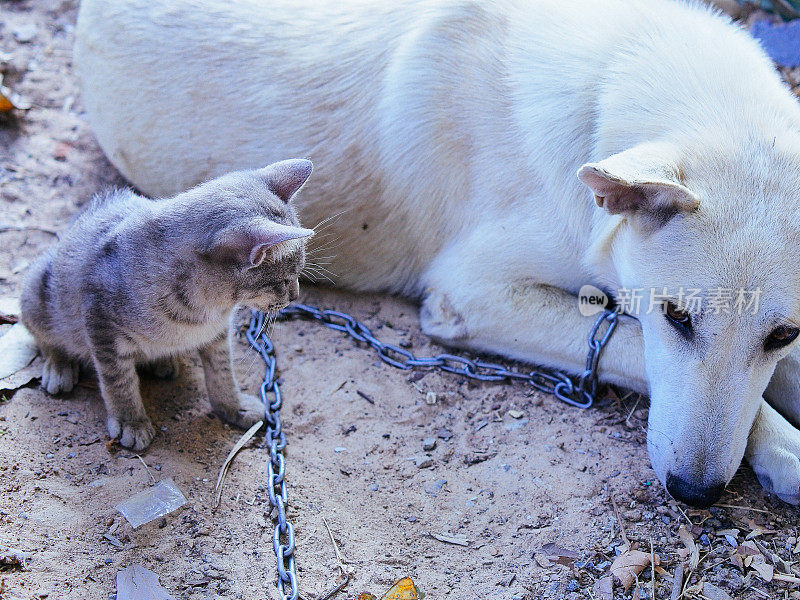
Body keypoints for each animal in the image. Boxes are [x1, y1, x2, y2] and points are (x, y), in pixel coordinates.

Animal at [18, 159, 312, 450]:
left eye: (298, 274)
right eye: (284, 280)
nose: (295, 295)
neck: (205, 311)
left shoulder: (218, 335)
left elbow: (222, 374)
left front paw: (234, 406)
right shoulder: (101, 325)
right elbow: (119, 382)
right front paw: (131, 422)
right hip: (38, 293)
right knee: (44, 336)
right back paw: (59, 367)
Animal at [73, 0, 800, 506]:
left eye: (784, 334)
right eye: (675, 317)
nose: (695, 495)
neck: (615, 83)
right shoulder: (471, 293)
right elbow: (624, 336)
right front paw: (784, 446)